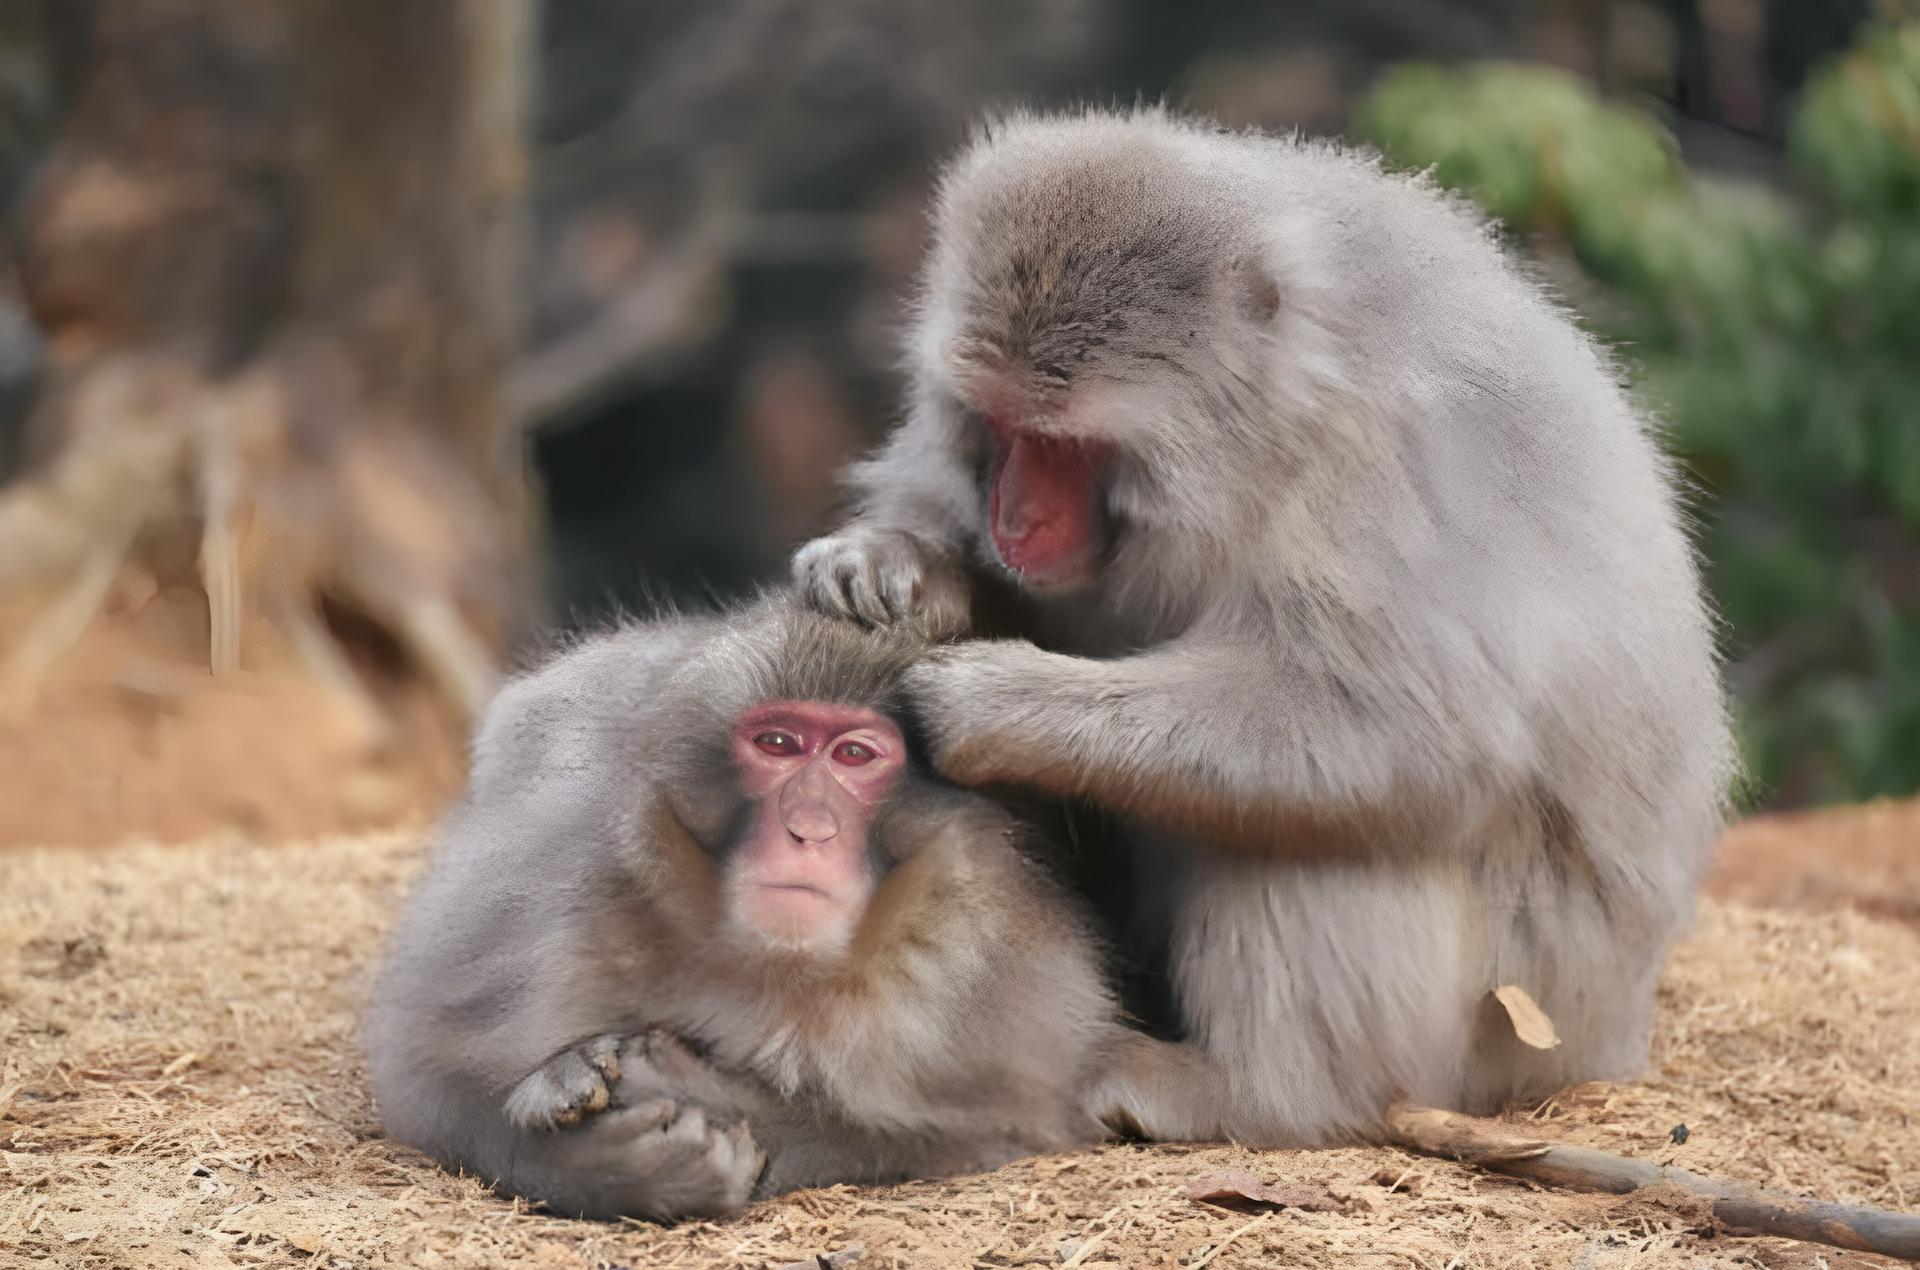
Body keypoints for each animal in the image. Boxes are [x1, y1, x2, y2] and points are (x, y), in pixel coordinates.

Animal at [364, 596, 1141, 1221]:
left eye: (855, 756)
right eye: (777, 743)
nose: (808, 828)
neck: (777, 962)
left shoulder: (974, 971)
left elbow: (1006, 1127)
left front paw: (693, 1094)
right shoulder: (566, 898)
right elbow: (424, 1075)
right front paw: (608, 1165)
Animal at [792, 107, 1736, 1146]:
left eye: (1062, 445)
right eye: (997, 427)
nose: (1013, 520)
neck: (1276, 423)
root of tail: (1616, 1041)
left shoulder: (1385, 468)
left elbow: (1414, 732)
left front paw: (988, 704)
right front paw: (898, 558)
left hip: (1517, 1018)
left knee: (1309, 826)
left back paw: (1262, 1094)